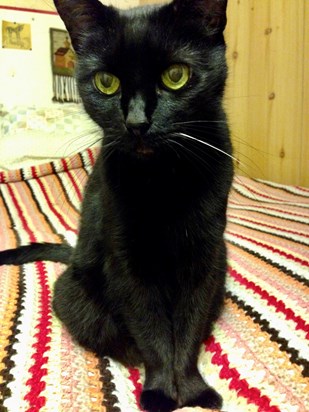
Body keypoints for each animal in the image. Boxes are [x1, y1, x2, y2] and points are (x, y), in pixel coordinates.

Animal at [0, 1, 232, 410]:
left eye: (176, 76)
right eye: (106, 82)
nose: (137, 122)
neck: (164, 180)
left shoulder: (205, 257)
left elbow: (189, 326)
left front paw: (191, 391)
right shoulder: (126, 260)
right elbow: (152, 331)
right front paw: (161, 391)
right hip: (76, 297)